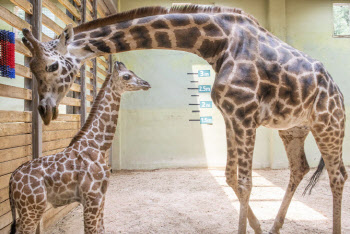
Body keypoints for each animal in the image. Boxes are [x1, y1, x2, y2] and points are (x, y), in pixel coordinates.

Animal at [8, 62, 150, 234]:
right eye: (127, 76)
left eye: (132, 72)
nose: (146, 84)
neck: (98, 146)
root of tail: (11, 180)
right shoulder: (91, 197)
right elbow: (91, 230)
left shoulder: (101, 195)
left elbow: (101, 229)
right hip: (33, 207)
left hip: (26, 209)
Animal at [22, 4, 348, 233]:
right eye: (31, 66)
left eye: (51, 66)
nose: (45, 111)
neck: (218, 43)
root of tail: (336, 89)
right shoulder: (231, 116)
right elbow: (231, 177)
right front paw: (257, 227)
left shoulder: (244, 115)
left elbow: (244, 183)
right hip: (293, 129)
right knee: (300, 168)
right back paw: (275, 227)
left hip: (329, 123)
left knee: (338, 174)